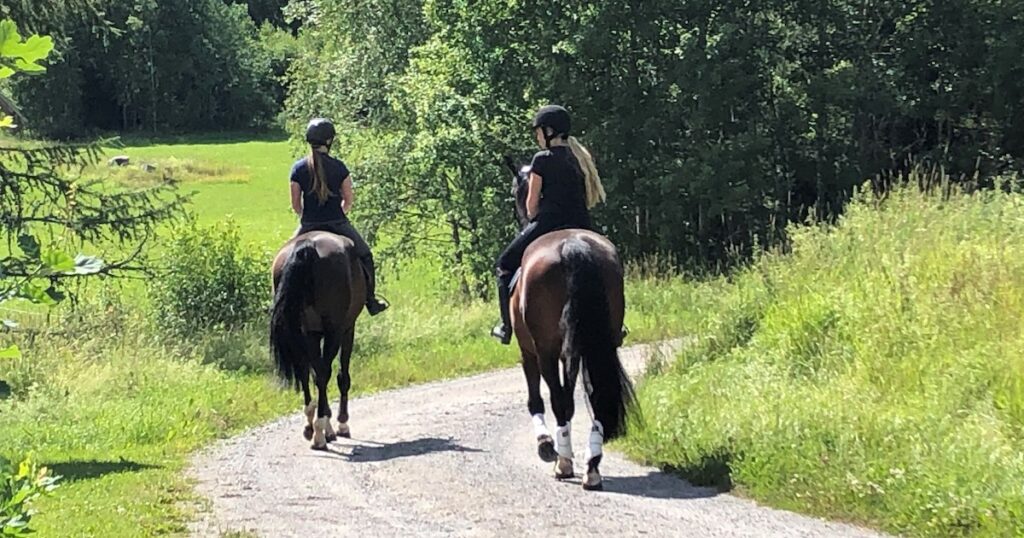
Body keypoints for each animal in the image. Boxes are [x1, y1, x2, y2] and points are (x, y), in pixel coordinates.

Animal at [270, 230, 366, 448]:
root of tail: (307, 246)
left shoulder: (311, 333)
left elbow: (312, 373)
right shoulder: (347, 329)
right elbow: (342, 376)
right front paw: (341, 424)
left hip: (301, 331)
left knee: (306, 373)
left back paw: (311, 426)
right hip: (334, 331)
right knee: (324, 373)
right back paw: (320, 432)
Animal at [499, 154, 634, 489]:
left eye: (516, 192)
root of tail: (575, 246)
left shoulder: (529, 351)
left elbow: (538, 400)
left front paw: (547, 445)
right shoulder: (569, 351)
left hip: (544, 348)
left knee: (558, 400)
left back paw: (562, 462)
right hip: (595, 344)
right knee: (594, 397)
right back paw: (592, 467)